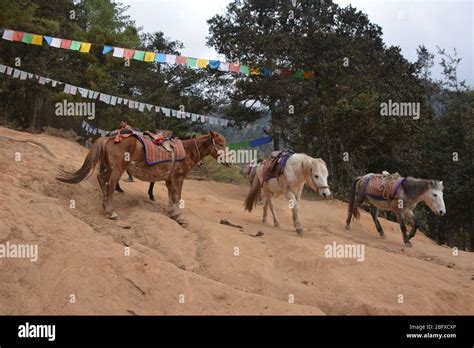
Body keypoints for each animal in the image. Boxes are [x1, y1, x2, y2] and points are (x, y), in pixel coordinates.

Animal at [56, 131, 231, 226]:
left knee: (101, 179)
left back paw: (105, 205)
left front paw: (172, 213)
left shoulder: (169, 179)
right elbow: (177, 196)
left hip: (111, 169)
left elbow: (171, 195)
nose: (229, 161)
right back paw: (111, 211)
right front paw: (180, 217)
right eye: (220, 144)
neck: (187, 151)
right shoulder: (179, 177)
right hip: (117, 170)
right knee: (110, 185)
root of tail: (109, 138)